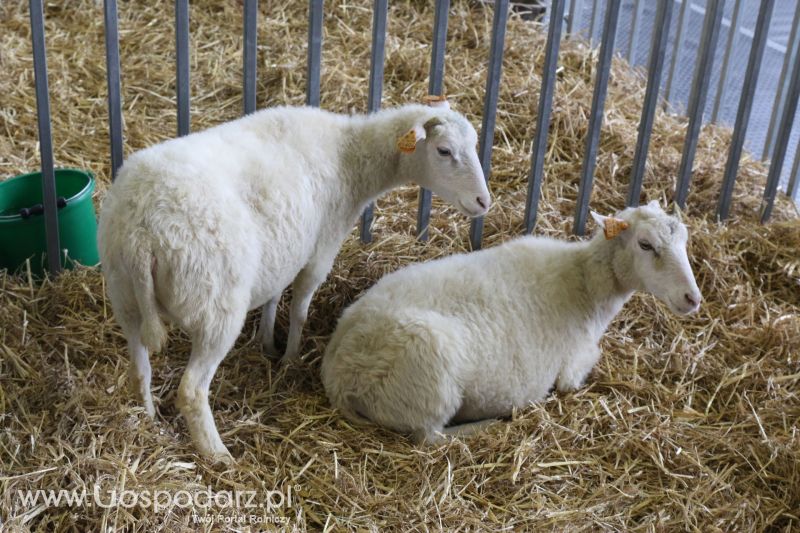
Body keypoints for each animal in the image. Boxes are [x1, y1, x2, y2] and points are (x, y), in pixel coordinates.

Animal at [97, 102, 490, 460]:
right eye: (444, 151)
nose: (483, 201)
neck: (351, 155)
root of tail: (142, 231)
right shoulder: (321, 249)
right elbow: (300, 308)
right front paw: (291, 357)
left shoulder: (284, 251)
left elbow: (274, 296)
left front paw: (269, 343)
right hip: (215, 306)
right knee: (191, 390)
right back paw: (217, 453)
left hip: (123, 295)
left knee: (139, 367)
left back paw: (148, 419)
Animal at [320, 202, 700, 442]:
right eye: (645, 244)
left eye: (685, 241)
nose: (692, 298)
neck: (585, 284)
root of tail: (339, 376)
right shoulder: (573, 368)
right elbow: (586, 365)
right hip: (429, 384)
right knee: (430, 438)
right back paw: (486, 425)